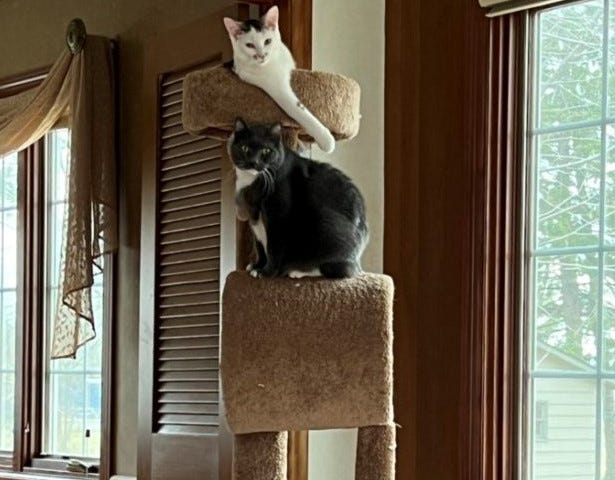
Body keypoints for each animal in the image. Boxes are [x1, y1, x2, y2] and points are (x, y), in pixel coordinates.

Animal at [223, 6, 336, 153]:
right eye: (249, 45)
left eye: (267, 41)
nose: (261, 55)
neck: (274, 62)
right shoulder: (277, 89)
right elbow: (299, 110)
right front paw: (326, 140)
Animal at [230, 117, 366, 280]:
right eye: (244, 148)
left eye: (266, 151)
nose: (253, 162)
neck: (253, 180)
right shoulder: (253, 216)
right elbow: (259, 245)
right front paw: (257, 266)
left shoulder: (278, 217)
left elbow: (273, 247)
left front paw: (266, 273)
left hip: (324, 225)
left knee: (341, 270)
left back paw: (298, 271)